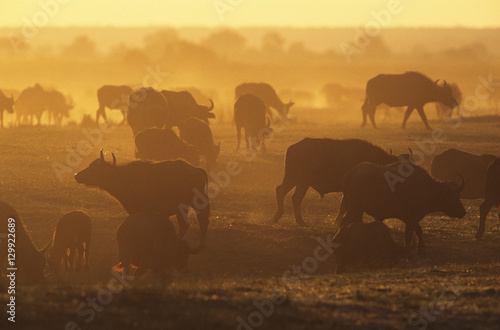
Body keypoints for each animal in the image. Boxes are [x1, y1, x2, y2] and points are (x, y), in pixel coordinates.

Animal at [74, 151, 209, 238]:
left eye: (93, 168)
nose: (76, 175)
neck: (123, 177)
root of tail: (197, 170)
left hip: (196, 204)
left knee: (202, 222)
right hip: (182, 208)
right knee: (185, 225)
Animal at [274, 138, 414, 226]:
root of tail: (292, 148)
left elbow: (343, 206)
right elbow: (345, 206)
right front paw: (338, 222)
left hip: (297, 181)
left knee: (287, 193)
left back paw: (284, 218)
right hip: (299, 180)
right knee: (290, 195)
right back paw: (296, 220)